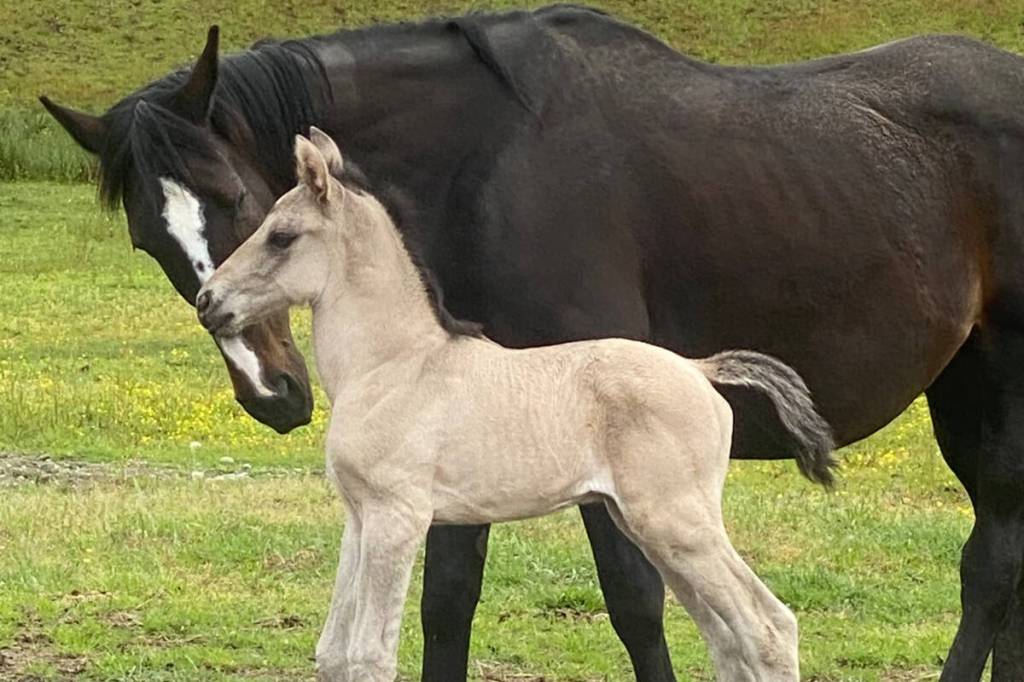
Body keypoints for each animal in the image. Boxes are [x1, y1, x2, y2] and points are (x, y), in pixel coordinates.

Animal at [196, 129, 835, 681]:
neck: (393, 365)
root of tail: (700, 370)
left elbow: (368, 655)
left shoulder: (398, 516)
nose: (208, 301)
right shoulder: (359, 518)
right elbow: (332, 652)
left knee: (768, 628)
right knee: (727, 638)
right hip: (647, 526)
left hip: (677, 522)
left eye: (281, 236)